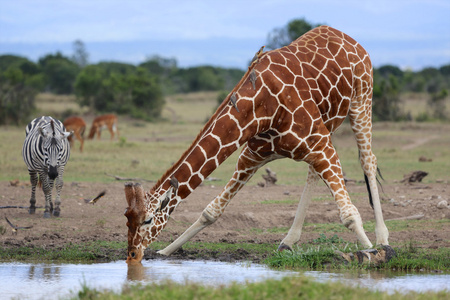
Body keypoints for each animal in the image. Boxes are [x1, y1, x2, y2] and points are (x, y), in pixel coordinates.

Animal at [123, 26, 390, 264]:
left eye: (147, 220)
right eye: (127, 217)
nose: (133, 255)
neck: (262, 107)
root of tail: (350, 38)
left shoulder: (319, 144)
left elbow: (350, 214)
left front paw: (376, 252)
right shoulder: (252, 155)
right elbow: (211, 211)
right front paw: (165, 251)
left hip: (361, 101)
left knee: (368, 160)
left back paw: (383, 238)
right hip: (329, 123)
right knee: (313, 172)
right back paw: (288, 241)